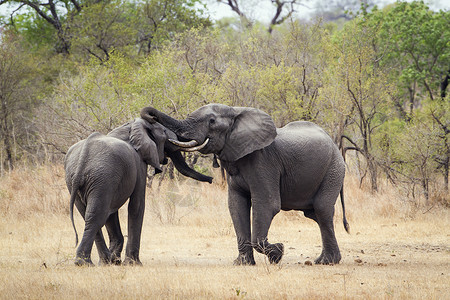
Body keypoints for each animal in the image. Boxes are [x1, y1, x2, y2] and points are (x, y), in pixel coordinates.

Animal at [64, 116, 212, 266]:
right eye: (164, 132)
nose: (211, 179)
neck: (132, 126)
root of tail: (83, 159)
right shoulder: (139, 164)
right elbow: (137, 205)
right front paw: (133, 263)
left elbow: (112, 213)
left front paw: (117, 261)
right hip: (101, 176)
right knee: (96, 216)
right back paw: (90, 262)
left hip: (78, 180)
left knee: (89, 214)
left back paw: (100, 261)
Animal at [142, 104, 350, 264]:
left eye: (212, 121)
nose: (150, 116)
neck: (236, 111)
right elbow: (236, 205)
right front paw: (243, 263)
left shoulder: (263, 161)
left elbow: (267, 205)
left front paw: (278, 253)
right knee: (314, 214)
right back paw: (323, 260)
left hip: (333, 169)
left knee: (322, 209)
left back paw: (327, 262)